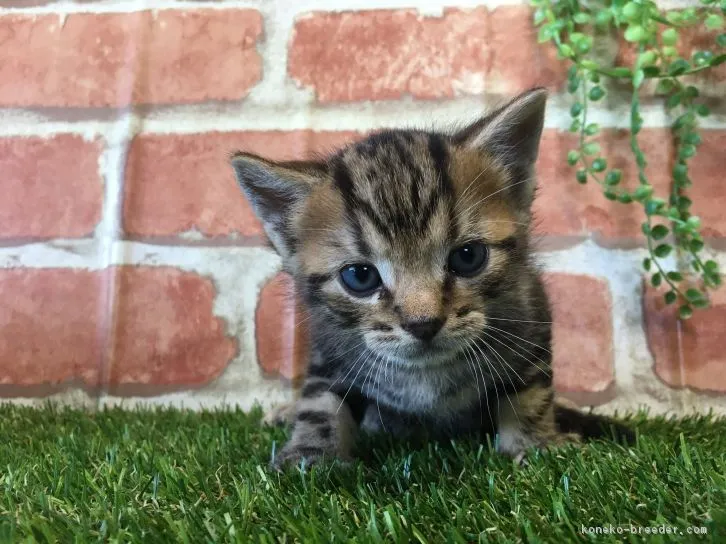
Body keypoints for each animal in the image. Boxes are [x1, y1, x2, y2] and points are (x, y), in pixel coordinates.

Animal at [232, 86, 632, 468]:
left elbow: (531, 389)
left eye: (468, 257)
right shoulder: (328, 344)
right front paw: (311, 454)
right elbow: (320, 400)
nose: (422, 323)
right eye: (360, 276)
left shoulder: (531, 314)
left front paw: (536, 443)